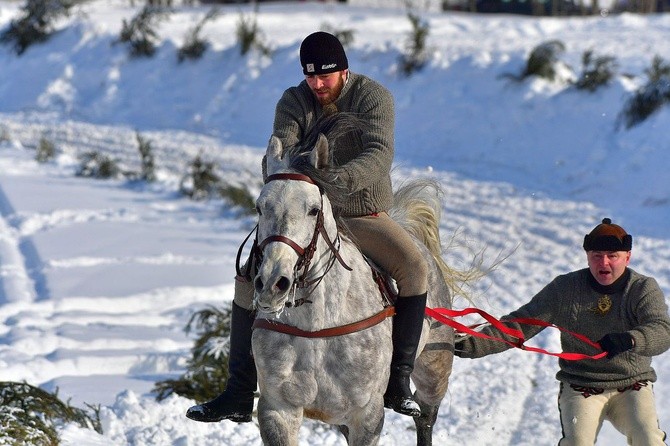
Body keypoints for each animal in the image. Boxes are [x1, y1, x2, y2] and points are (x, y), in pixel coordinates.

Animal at [251, 123, 456, 446]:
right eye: (260, 207)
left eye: (313, 209)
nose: (273, 283)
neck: (317, 326)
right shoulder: (278, 410)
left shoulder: (367, 415)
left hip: (435, 369)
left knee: (425, 418)